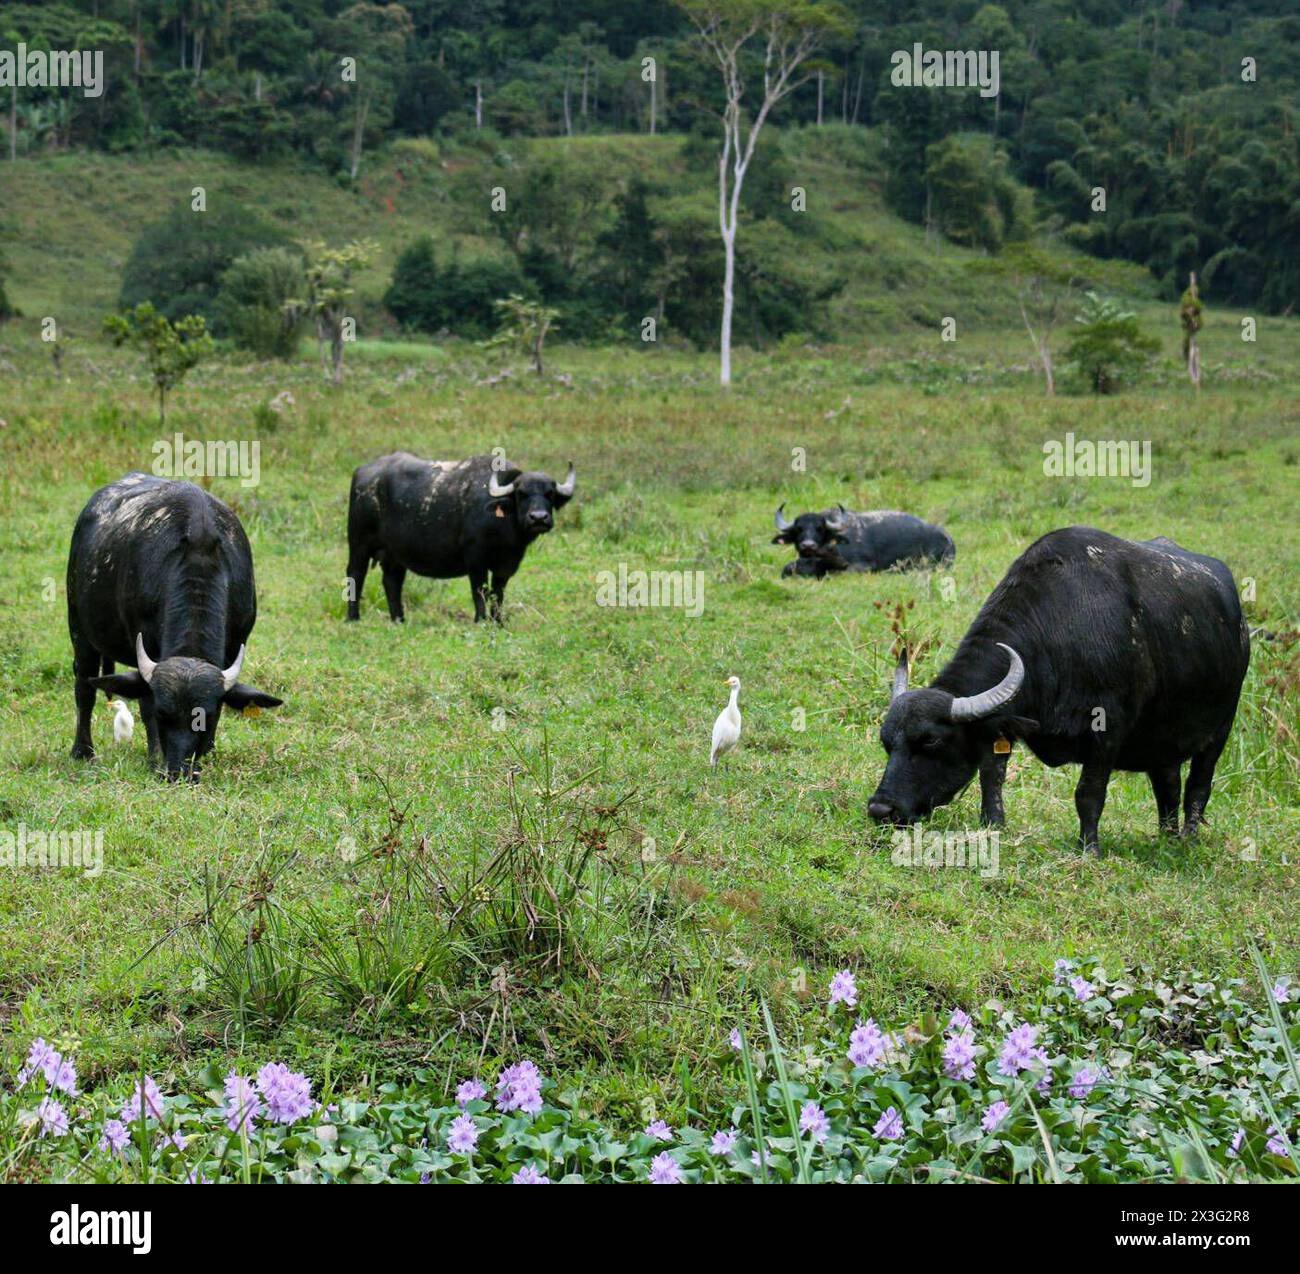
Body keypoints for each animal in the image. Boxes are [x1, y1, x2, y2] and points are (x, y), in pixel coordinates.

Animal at [65, 473, 284, 780]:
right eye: (162, 713)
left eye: (207, 717)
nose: (178, 771)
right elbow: (143, 704)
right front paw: (155, 756)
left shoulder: (236, 640)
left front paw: (208, 752)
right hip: (79, 628)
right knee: (84, 685)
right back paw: (83, 751)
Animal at [345, 449, 574, 624]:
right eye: (521, 494)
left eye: (550, 494)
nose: (538, 518)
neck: (504, 527)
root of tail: (362, 473)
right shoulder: (475, 560)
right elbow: (480, 591)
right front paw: (481, 620)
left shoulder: (506, 565)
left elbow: (497, 593)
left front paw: (498, 622)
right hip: (359, 544)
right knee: (355, 575)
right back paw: (353, 618)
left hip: (395, 554)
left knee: (392, 582)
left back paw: (399, 619)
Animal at [868, 522, 1253, 852]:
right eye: (887, 743)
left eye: (931, 740)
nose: (881, 809)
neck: (1059, 632)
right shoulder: (1002, 725)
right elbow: (991, 778)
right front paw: (994, 826)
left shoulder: (1107, 730)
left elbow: (1089, 793)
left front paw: (1089, 848)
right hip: (1161, 739)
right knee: (1168, 785)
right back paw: (1167, 838)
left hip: (1220, 728)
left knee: (1198, 786)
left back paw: (1188, 839)